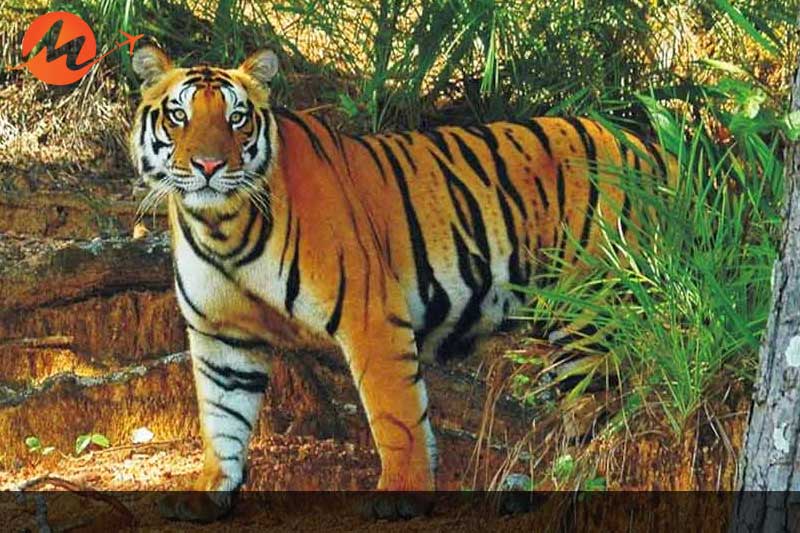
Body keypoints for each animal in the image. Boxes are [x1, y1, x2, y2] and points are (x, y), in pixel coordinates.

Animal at [129, 45, 674, 521]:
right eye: (178, 116)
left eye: (237, 118)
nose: (209, 166)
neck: (222, 226)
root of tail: (650, 147)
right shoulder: (222, 337)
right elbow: (222, 418)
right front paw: (210, 492)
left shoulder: (371, 317)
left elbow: (396, 415)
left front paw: (402, 493)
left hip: (590, 315)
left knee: (602, 419)